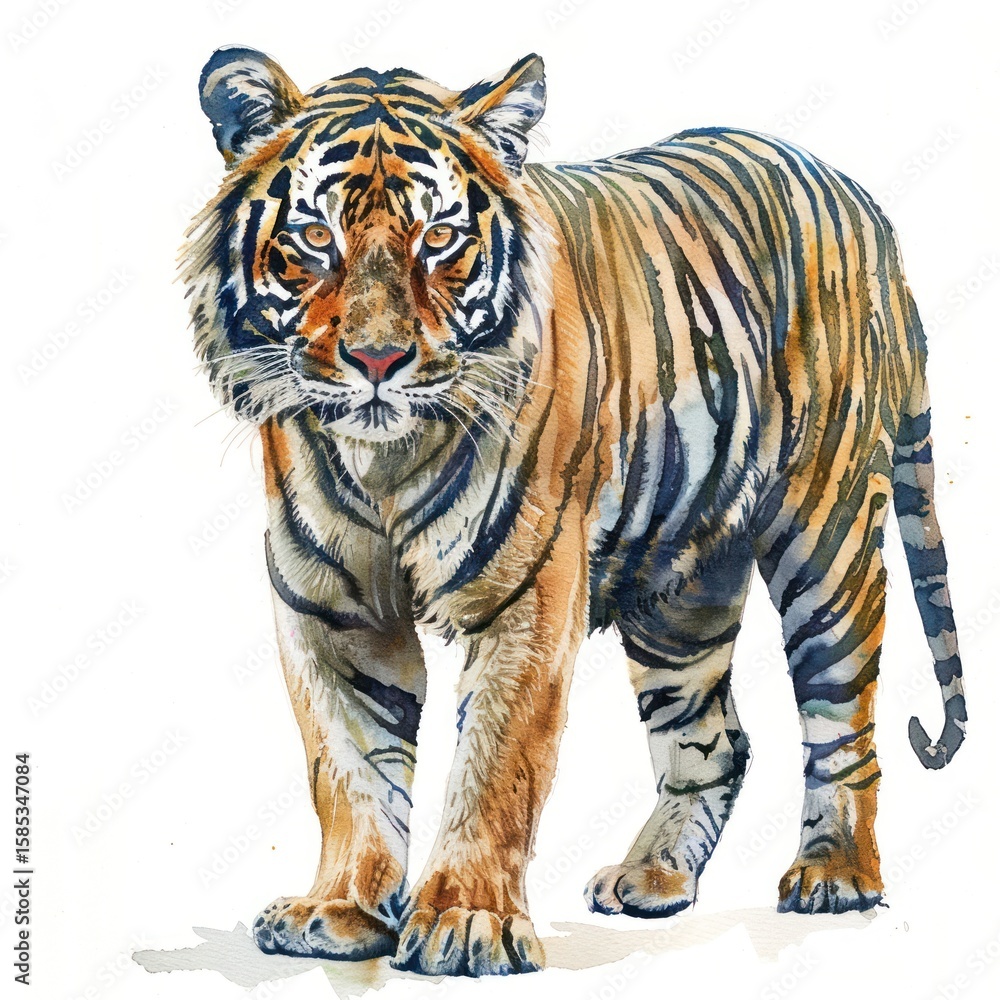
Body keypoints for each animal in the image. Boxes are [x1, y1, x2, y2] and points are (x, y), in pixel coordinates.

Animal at [185, 46, 968, 977]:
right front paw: (340, 909)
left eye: (439, 238)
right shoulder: (331, 610)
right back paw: (655, 879)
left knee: (843, 719)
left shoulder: (528, 595)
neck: (383, 463)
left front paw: (465, 921)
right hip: (681, 596)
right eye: (315, 237)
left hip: (828, 539)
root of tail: (858, 200)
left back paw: (835, 873)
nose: (378, 359)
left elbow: (497, 762)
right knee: (715, 739)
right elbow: (348, 767)